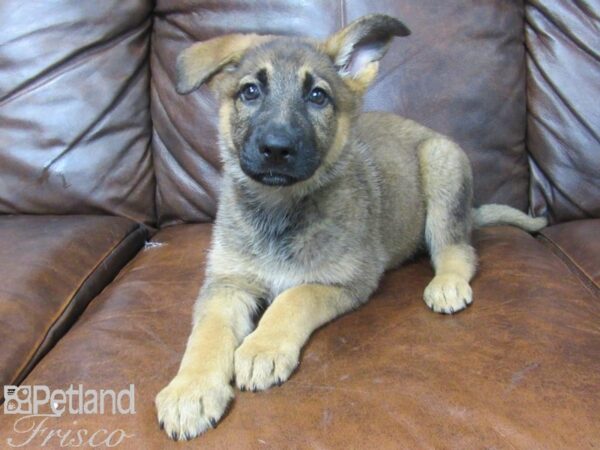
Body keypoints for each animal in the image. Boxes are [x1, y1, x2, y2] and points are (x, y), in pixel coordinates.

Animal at [155, 14, 548, 440]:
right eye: (250, 91)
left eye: (317, 96)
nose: (276, 148)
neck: (280, 209)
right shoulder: (227, 283)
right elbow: (207, 333)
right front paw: (190, 390)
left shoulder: (346, 280)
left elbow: (292, 297)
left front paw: (261, 348)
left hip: (441, 164)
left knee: (458, 249)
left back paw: (447, 283)